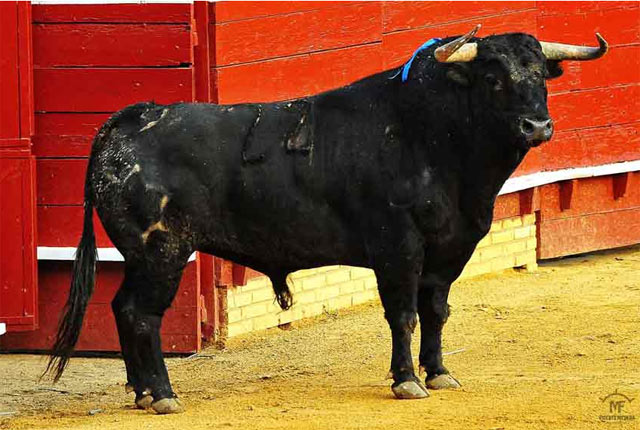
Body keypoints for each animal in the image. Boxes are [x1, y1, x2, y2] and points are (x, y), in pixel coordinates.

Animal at [46, 30, 608, 414]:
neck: (434, 134)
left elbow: (437, 311)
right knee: (142, 314)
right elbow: (403, 313)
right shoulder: (397, 246)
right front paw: (406, 381)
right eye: (493, 78)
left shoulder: (452, 246)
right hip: (161, 250)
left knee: (122, 308)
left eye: (540, 76)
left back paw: (141, 393)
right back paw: (163, 395)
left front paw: (439, 372)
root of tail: (130, 120)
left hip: (140, 255)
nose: (537, 125)